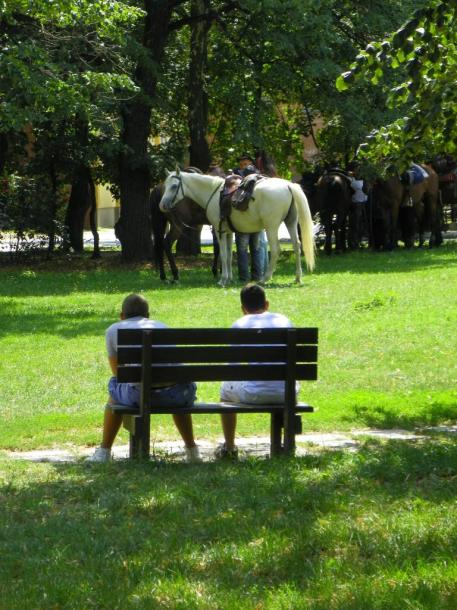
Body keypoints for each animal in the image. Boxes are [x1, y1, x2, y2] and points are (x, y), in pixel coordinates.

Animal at [159, 167, 314, 284]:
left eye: (174, 186)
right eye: (165, 186)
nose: (162, 205)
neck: (213, 193)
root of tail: (288, 185)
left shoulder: (219, 231)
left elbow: (223, 255)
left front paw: (222, 280)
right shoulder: (228, 232)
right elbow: (228, 255)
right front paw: (229, 279)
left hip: (272, 227)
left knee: (276, 250)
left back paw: (265, 278)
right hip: (291, 222)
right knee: (297, 245)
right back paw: (297, 277)